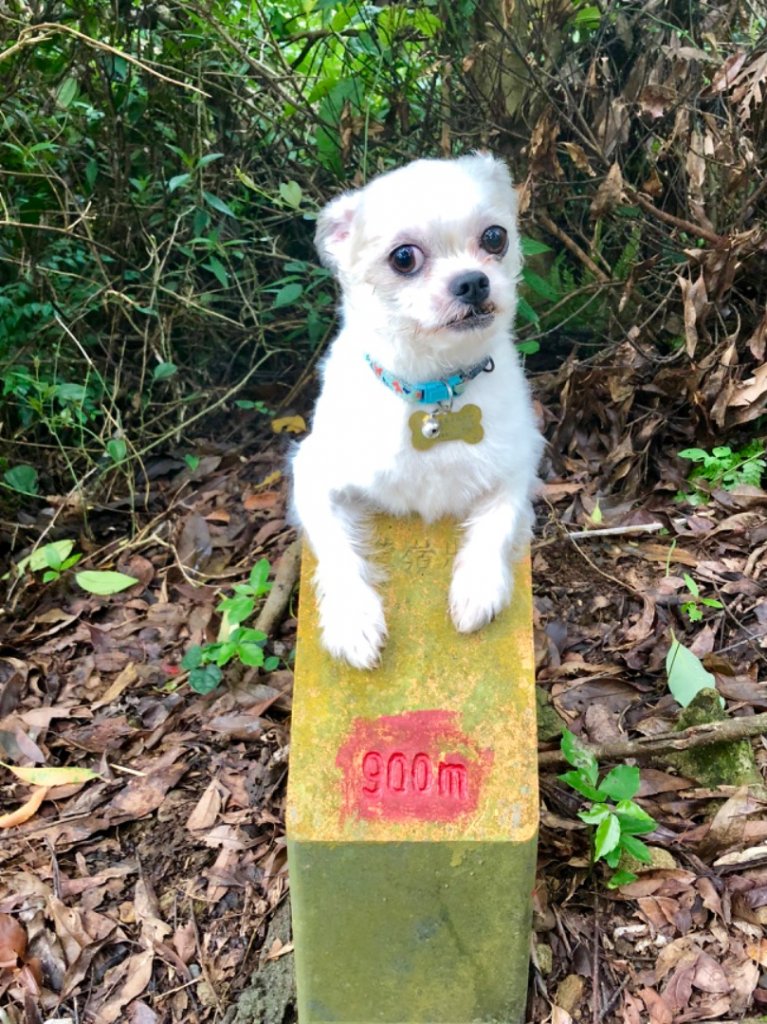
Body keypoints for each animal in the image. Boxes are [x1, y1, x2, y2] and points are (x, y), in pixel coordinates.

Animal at [290, 151, 540, 667]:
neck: (434, 387)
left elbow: (498, 520)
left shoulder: (519, 461)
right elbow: (335, 547)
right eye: (404, 257)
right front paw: (353, 620)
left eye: (495, 237)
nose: (472, 281)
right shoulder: (312, 471)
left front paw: (477, 587)